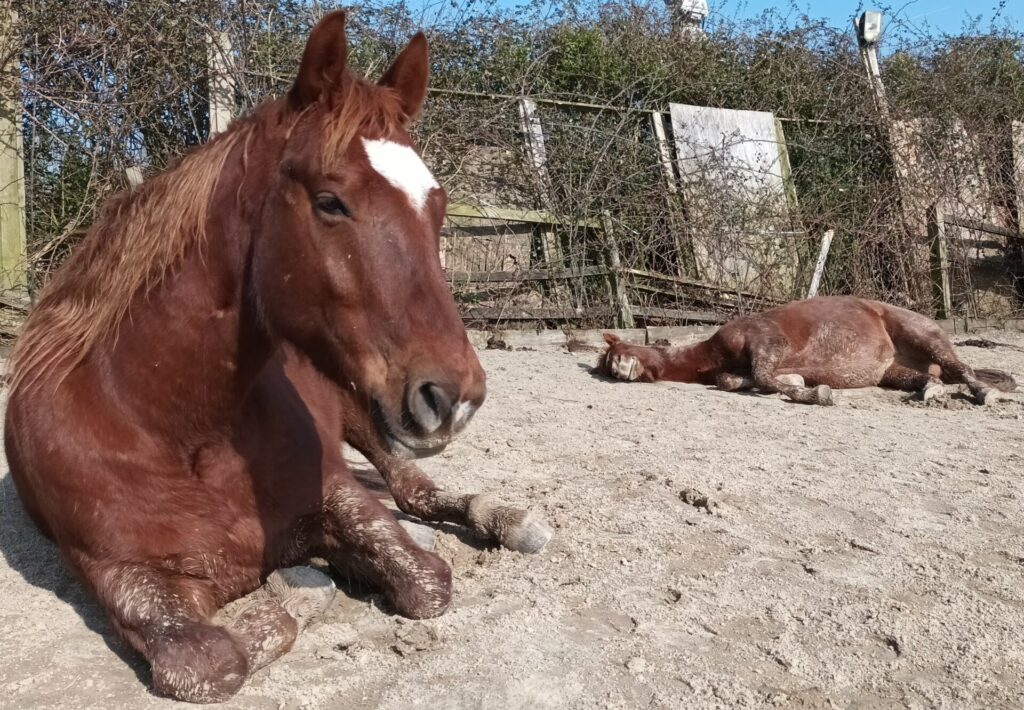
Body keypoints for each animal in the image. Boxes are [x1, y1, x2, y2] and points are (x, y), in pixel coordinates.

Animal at [4, 12, 547, 703]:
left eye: (438, 204)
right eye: (329, 201)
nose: (455, 396)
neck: (172, 427)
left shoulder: (337, 494)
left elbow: (425, 579)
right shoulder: (119, 575)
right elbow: (219, 660)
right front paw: (303, 583)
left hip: (364, 415)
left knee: (414, 490)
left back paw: (505, 517)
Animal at [597, 296, 1016, 405]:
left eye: (617, 351)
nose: (617, 371)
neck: (711, 354)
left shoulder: (768, 343)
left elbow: (763, 377)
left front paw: (816, 394)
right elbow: (737, 382)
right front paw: (800, 384)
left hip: (921, 334)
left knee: (963, 371)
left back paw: (986, 393)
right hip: (892, 371)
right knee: (929, 380)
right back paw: (932, 392)